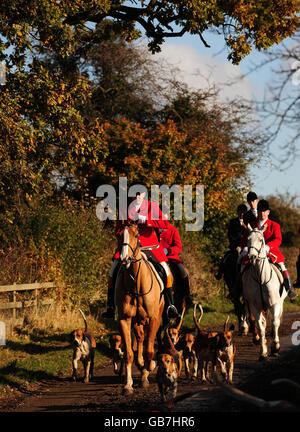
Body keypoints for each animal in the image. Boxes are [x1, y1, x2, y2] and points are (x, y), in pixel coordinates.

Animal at [115, 221, 166, 394]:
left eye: (136, 235)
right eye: (118, 234)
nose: (124, 258)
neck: (135, 283)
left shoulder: (153, 318)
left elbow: (149, 350)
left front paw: (148, 369)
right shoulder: (125, 319)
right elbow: (129, 353)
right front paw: (128, 384)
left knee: (147, 343)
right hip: (137, 321)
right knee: (140, 339)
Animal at [243, 224, 288, 360]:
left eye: (261, 240)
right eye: (248, 239)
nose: (251, 257)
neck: (260, 278)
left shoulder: (274, 304)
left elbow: (275, 323)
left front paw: (275, 347)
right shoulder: (254, 306)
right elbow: (260, 327)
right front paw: (263, 352)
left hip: (279, 303)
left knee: (276, 321)